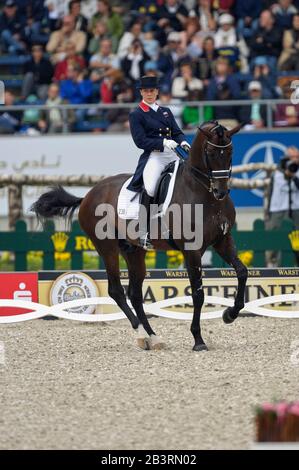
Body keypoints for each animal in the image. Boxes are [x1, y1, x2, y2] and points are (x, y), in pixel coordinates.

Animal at [31, 121, 250, 352]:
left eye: (230, 152)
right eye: (210, 152)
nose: (220, 192)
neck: (202, 194)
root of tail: (88, 196)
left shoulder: (222, 241)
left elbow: (242, 272)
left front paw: (229, 314)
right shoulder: (191, 249)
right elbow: (198, 294)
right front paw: (198, 340)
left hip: (134, 251)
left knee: (135, 294)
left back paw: (153, 337)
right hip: (107, 248)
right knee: (116, 291)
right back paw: (142, 334)